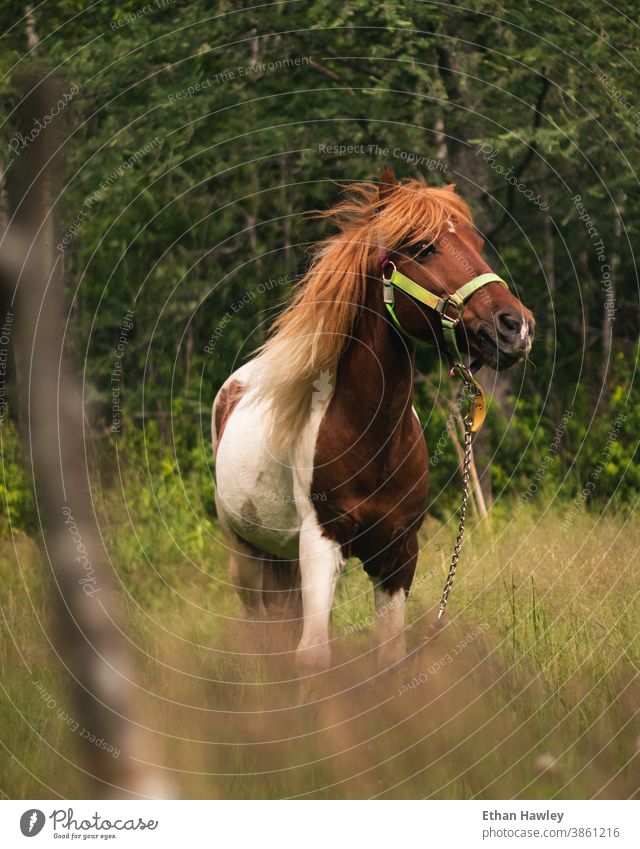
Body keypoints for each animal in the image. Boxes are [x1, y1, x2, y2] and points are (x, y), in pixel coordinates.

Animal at [211, 169, 536, 676]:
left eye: (476, 242)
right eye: (423, 247)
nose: (514, 327)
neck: (371, 440)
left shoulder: (398, 555)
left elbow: (390, 656)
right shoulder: (321, 546)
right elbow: (313, 656)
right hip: (245, 555)